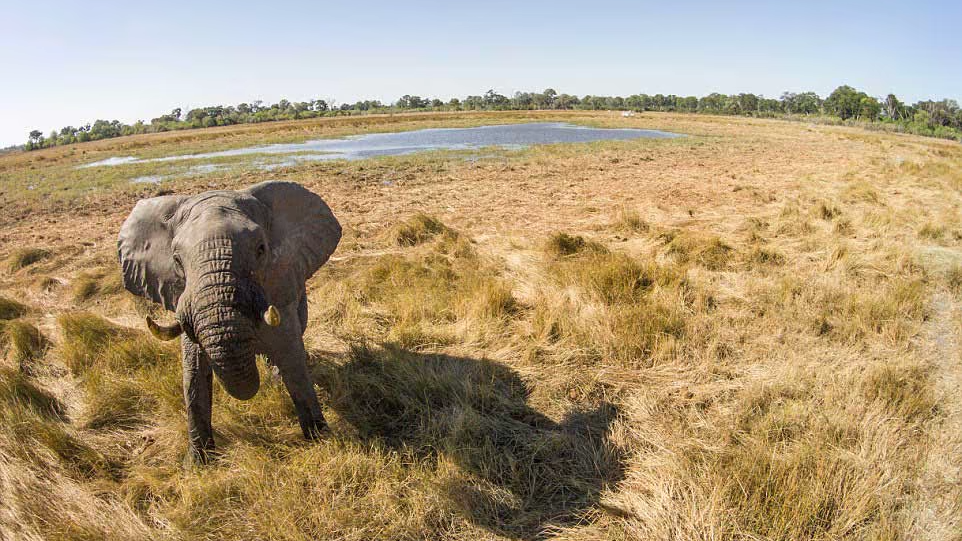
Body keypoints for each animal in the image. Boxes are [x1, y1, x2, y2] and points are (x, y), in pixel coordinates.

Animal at [118, 180, 342, 460]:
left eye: (261, 249)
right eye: (177, 260)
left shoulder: (279, 285)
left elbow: (293, 362)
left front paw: (319, 439)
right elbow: (193, 375)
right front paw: (197, 463)